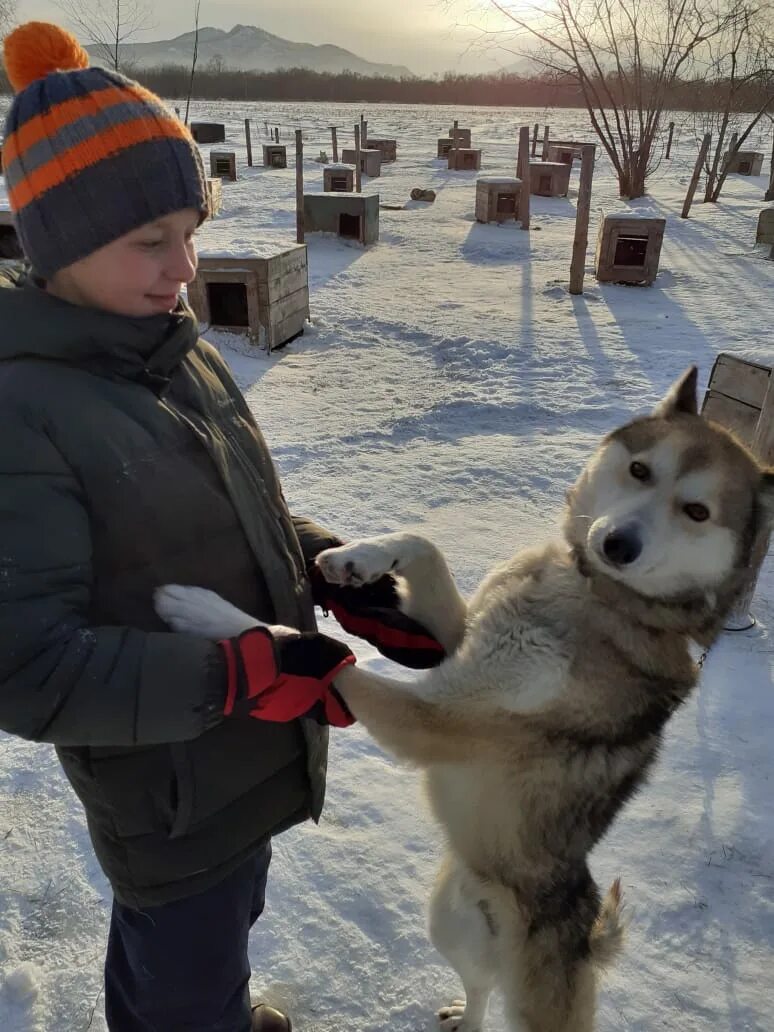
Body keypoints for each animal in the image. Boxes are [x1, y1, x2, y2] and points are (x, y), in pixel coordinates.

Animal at [155, 371, 774, 1032]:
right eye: (640, 470)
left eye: (697, 512)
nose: (617, 543)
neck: (591, 591)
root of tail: (583, 931)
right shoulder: (457, 644)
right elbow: (426, 547)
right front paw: (358, 559)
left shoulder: (436, 717)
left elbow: (315, 653)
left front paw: (219, 620)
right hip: (447, 922)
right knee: (480, 991)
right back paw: (464, 1012)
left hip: (533, 996)